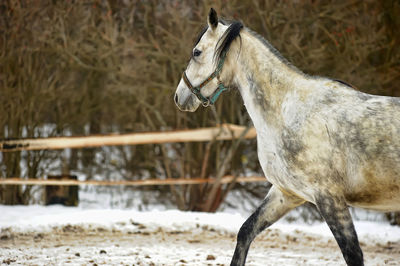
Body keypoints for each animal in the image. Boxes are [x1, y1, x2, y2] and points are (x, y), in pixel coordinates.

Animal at [174, 8, 400, 266]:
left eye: (197, 52)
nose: (179, 96)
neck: (287, 111)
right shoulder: (287, 193)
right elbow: (245, 232)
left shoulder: (329, 198)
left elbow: (353, 254)